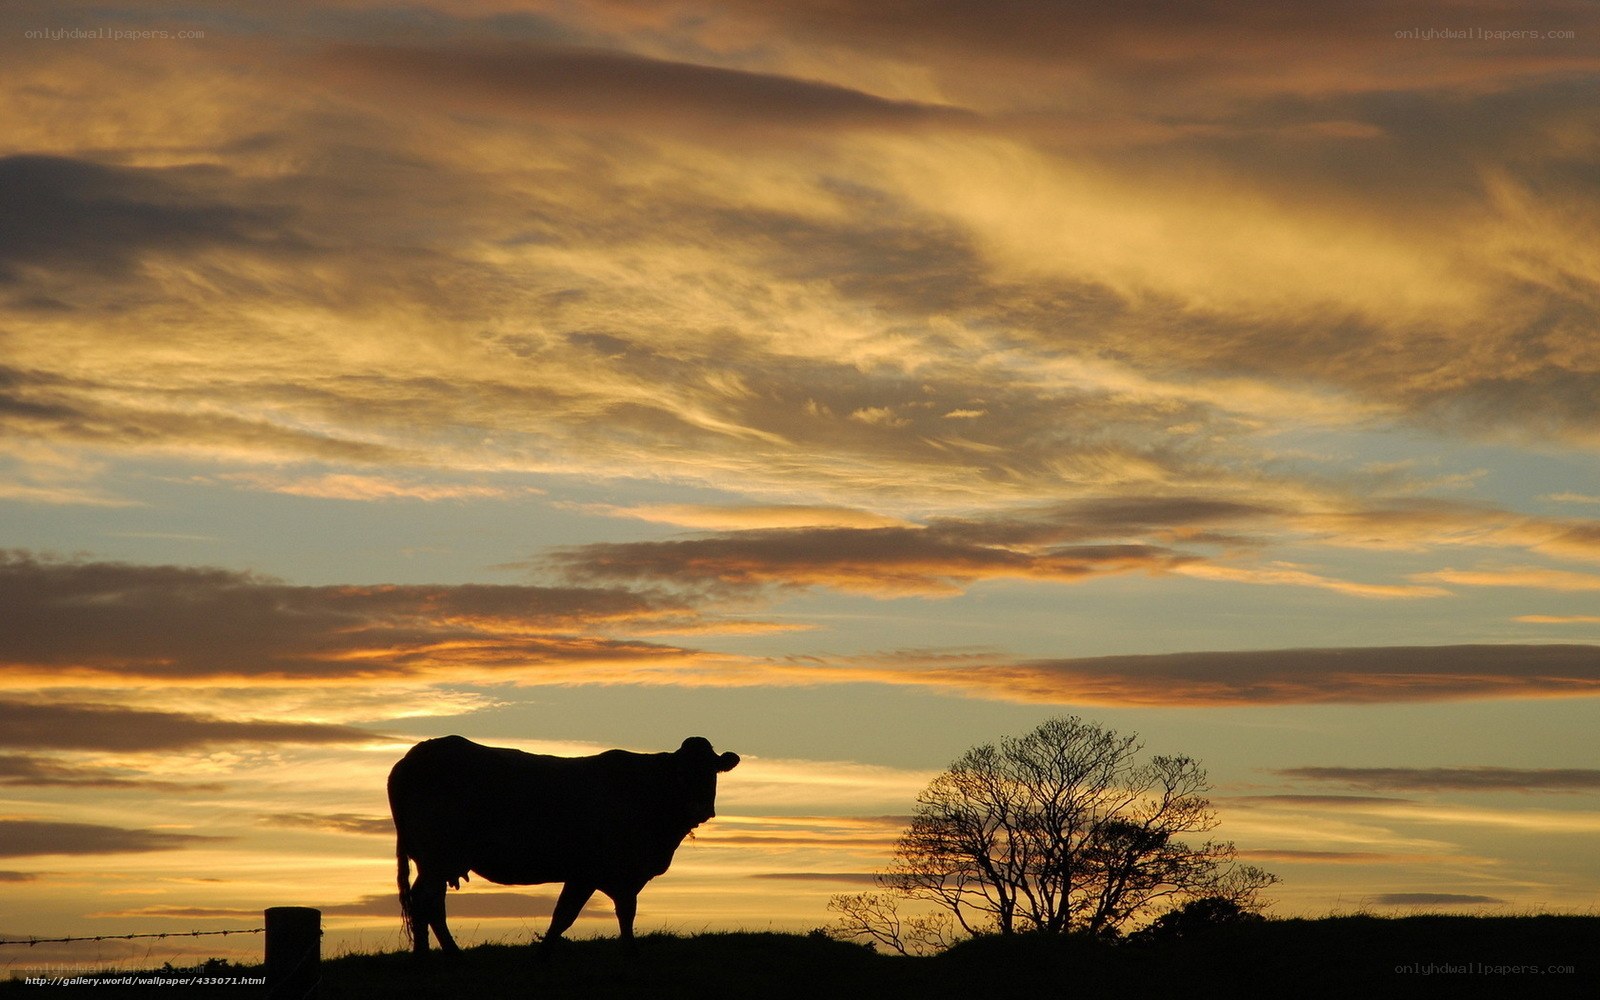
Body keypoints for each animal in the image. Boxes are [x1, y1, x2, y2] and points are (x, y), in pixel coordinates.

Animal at [388, 734, 740, 954]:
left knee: (425, 901)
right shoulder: (602, 871)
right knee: (428, 901)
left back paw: (427, 953)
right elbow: (586, 915)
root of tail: (413, 756)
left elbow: (580, 915)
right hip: (437, 856)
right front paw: (629, 953)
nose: (700, 808)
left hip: (432, 860)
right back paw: (446, 954)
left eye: (712, 771)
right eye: (681, 773)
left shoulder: (603, 874)